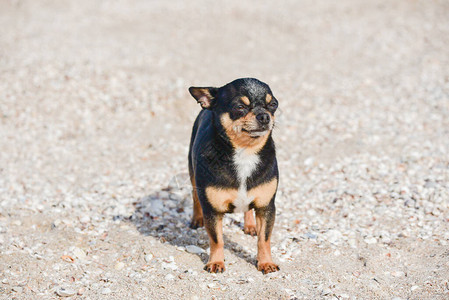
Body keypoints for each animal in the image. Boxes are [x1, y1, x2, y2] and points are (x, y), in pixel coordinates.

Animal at [186, 78, 278, 274]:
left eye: (273, 104)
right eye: (239, 107)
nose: (264, 116)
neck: (245, 151)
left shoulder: (266, 207)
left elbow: (264, 239)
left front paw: (265, 262)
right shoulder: (212, 211)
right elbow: (217, 239)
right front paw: (216, 262)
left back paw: (250, 225)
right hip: (192, 173)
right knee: (195, 196)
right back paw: (196, 218)